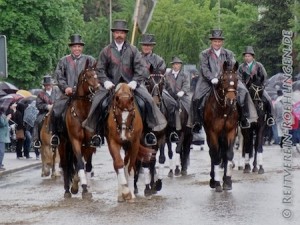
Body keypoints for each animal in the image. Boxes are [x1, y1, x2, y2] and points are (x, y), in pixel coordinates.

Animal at [58, 59, 99, 199]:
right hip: (63, 145)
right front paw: (82, 188)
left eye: (97, 75)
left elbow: (86, 165)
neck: (82, 113)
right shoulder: (75, 141)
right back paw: (66, 190)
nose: (98, 87)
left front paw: (80, 186)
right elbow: (80, 164)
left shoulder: (89, 143)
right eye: (88, 76)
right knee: (65, 165)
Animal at [204, 61, 239, 192]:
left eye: (237, 79)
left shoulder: (231, 131)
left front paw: (227, 181)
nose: (231, 100)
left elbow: (228, 155)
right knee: (213, 154)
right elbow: (216, 156)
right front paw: (217, 182)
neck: (223, 109)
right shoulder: (213, 133)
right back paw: (213, 180)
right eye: (223, 79)